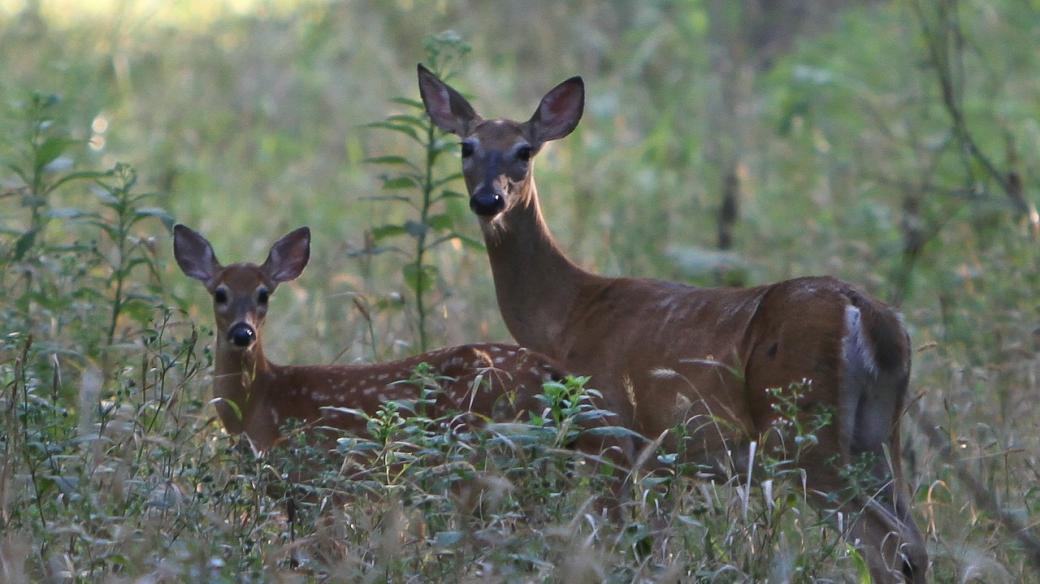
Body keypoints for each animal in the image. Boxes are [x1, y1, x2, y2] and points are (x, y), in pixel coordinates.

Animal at [418, 65, 931, 577]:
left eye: (524, 151)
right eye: (467, 147)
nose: (488, 199)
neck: (569, 314)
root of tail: (870, 318)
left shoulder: (610, 432)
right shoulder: (666, 461)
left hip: (801, 429)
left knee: (887, 543)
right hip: (875, 432)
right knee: (914, 541)